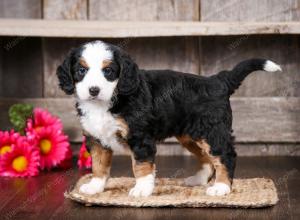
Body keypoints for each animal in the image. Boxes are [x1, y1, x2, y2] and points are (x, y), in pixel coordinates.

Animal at [55, 40, 282, 197]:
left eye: (108, 71)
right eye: (81, 70)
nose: (93, 90)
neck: (107, 103)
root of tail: (217, 81)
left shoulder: (140, 137)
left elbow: (141, 166)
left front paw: (142, 190)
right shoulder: (96, 138)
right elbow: (99, 165)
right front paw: (95, 187)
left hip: (212, 130)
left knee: (225, 156)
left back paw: (221, 187)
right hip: (191, 135)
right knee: (206, 158)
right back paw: (198, 179)